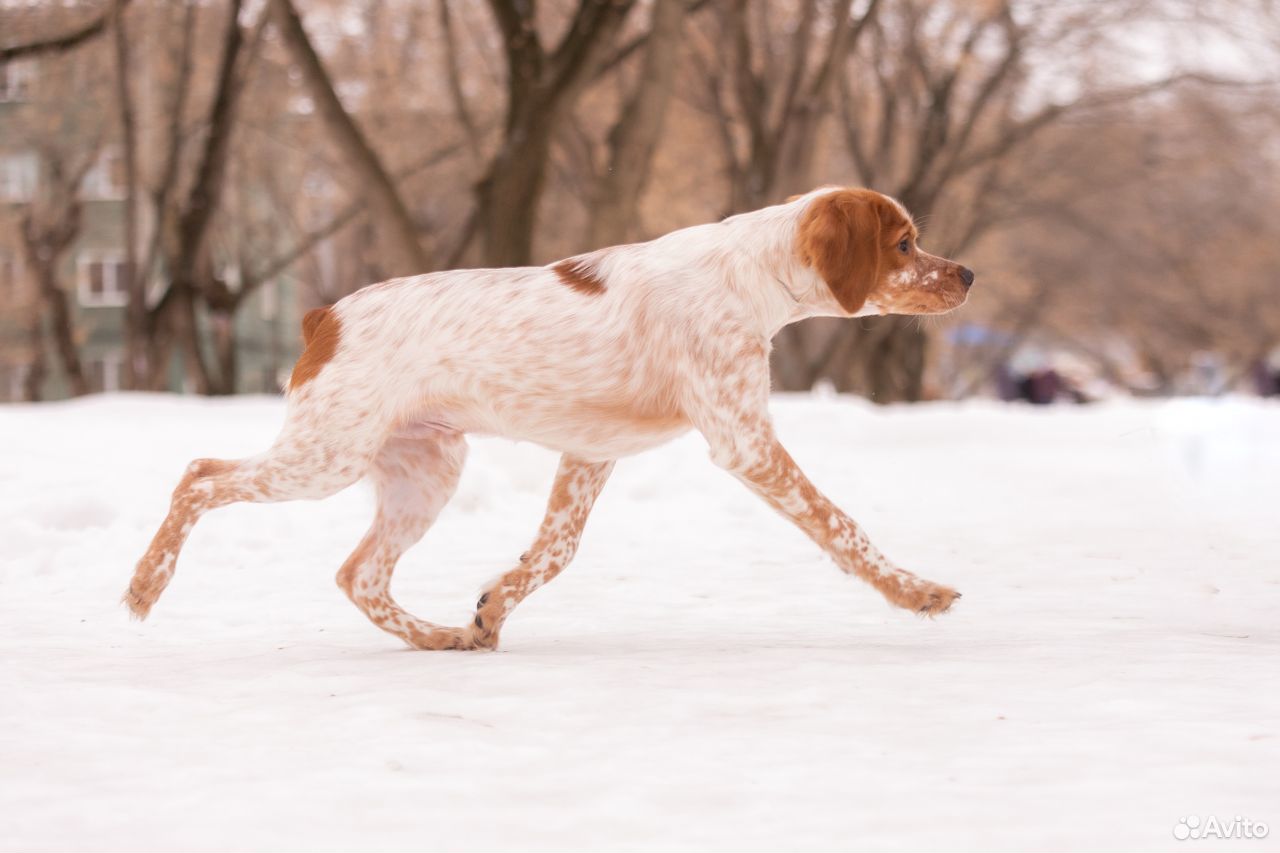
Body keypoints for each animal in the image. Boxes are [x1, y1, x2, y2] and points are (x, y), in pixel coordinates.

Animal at [124, 185, 972, 648]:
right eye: (905, 243)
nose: (966, 273)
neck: (749, 276)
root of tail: (322, 316)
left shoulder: (592, 451)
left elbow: (555, 550)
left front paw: (492, 606)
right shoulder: (744, 440)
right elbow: (841, 526)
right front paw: (915, 590)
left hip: (425, 471)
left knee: (357, 573)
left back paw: (437, 636)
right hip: (325, 455)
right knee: (199, 474)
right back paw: (143, 585)